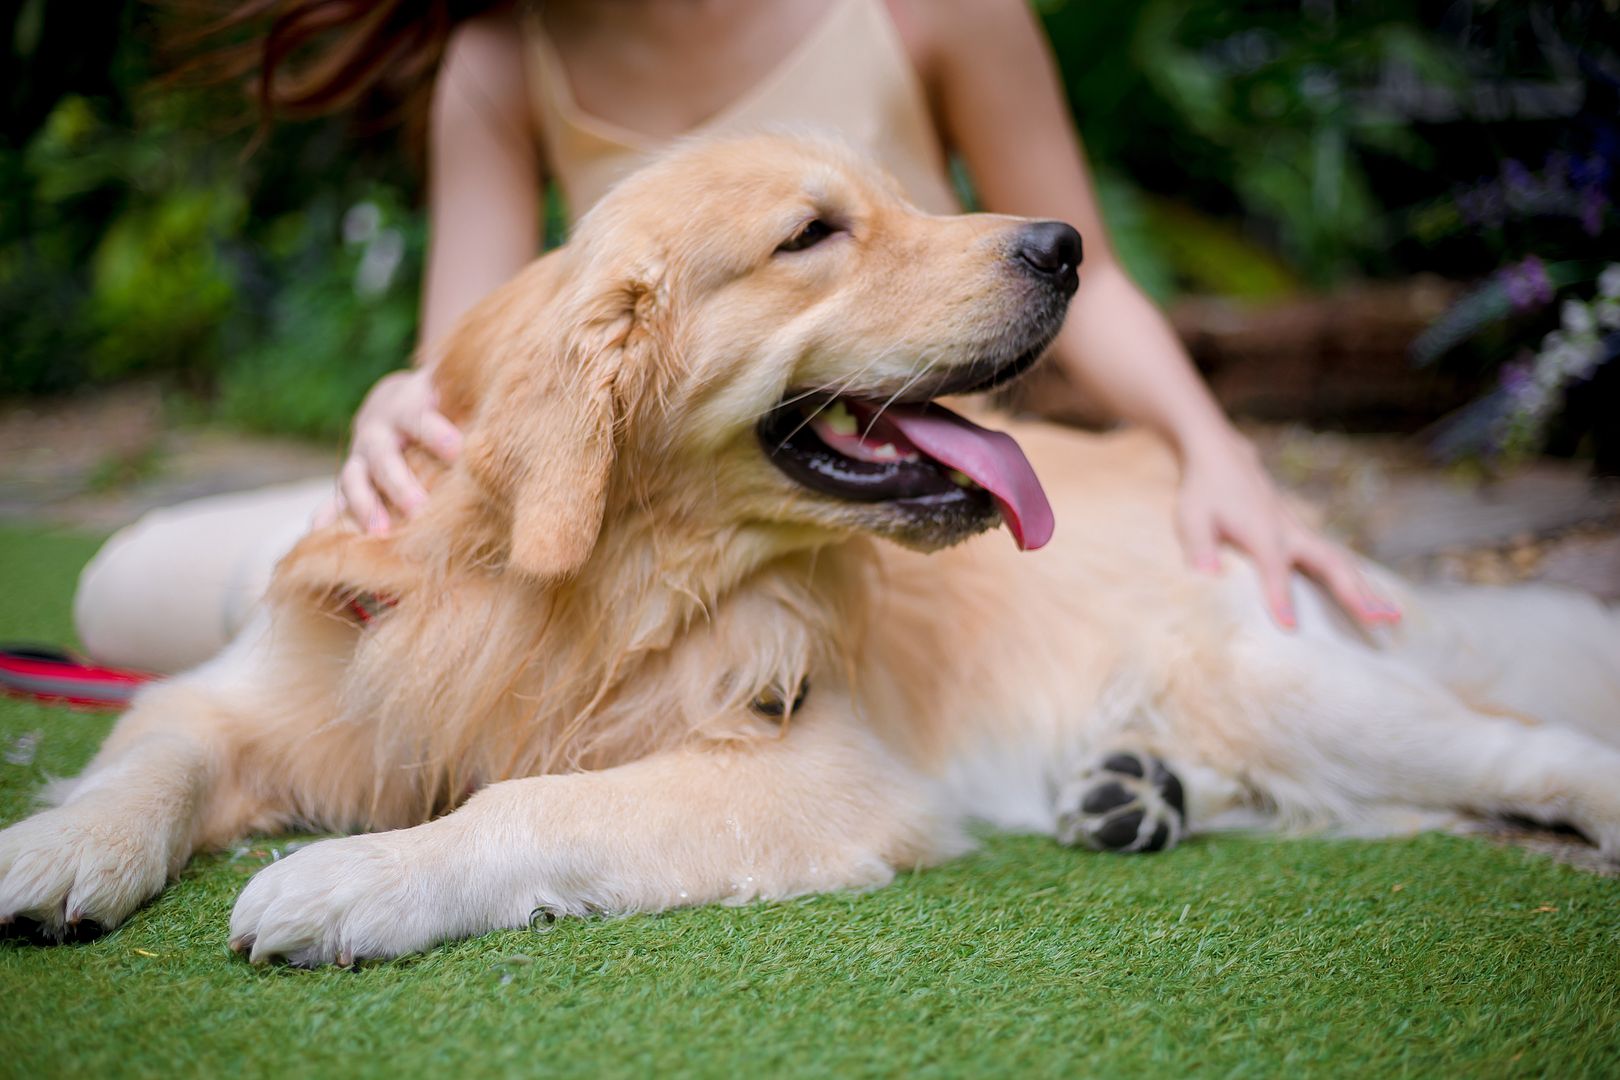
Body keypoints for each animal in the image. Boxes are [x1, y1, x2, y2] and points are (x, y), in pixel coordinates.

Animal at [3, 131, 1620, 965]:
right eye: (813, 235)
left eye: (894, 202)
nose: (1065, 248)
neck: (583, 584)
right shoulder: (267, 679)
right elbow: (155, 751)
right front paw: (58, 849)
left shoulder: (817, 764)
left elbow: (535, 804)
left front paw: (357, 879)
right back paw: (1129, 794)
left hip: (1286, 680)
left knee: (1524, 744)